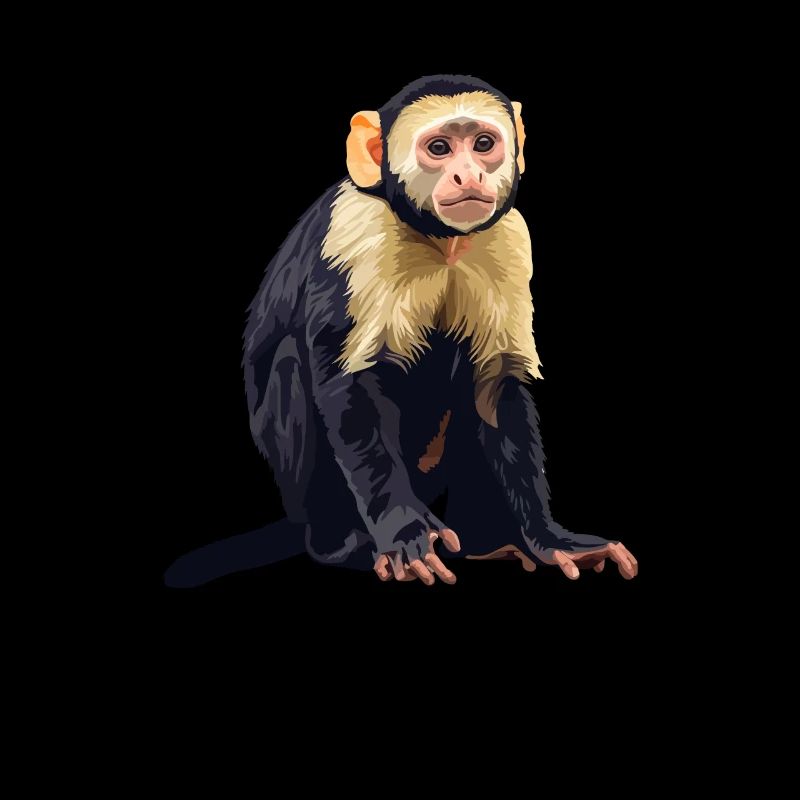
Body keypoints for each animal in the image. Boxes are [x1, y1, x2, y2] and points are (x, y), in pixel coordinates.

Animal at [164, 74, 638, 588]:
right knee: (292, 362)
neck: (438, 239)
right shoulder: (355, 229)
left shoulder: (509, 236)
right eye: (440, 148)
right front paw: (405, 532)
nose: (469, 176)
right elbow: (348, 385)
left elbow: (495, 389)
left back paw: (488, 543)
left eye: (483, 144)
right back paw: (340, 545)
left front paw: (549, 540)